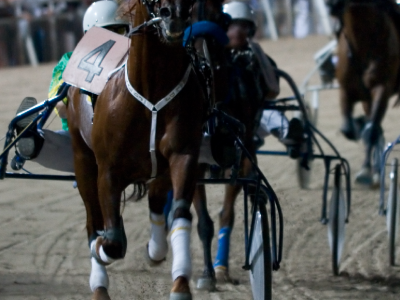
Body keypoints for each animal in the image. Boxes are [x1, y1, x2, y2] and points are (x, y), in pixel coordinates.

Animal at [65, 0, 205, 298]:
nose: (174, 15)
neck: (152, 91)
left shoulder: (183, 155)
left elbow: (180, 215)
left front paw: (180, 284)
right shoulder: (107, 171)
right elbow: (113, 241)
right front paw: (101, 246)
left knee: (156, 201)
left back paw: (155, 249)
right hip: (82, 159)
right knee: (93, 220)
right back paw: (99, 284)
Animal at [328, 0, 400, 188]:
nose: (331, 5)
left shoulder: (382, 89)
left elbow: (371, 131)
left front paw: (366, 172)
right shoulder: (346, 91)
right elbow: (349, 129)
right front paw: (370, 170)